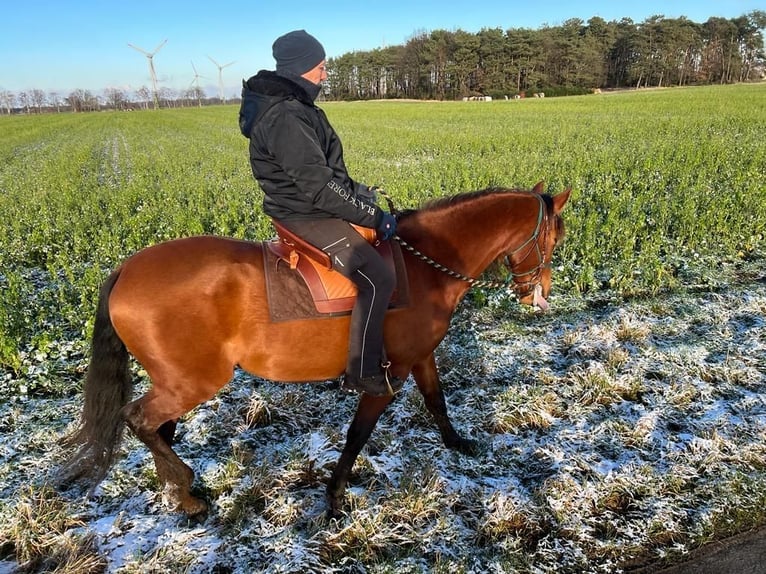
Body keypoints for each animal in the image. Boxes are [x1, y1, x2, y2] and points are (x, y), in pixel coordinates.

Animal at [60, 183, 572, 516]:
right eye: (554, 238)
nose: (540, 294)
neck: (427, 263)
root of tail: (126, 269)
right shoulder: (387, 374)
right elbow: (358, 434)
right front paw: (334, 497)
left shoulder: (420, 357)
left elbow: (436, 401)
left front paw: (456, 443)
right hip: (193, 380)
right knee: (139, 420)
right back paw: (185, 490)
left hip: (176, 380)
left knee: (158, 429)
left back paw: (179, 489)